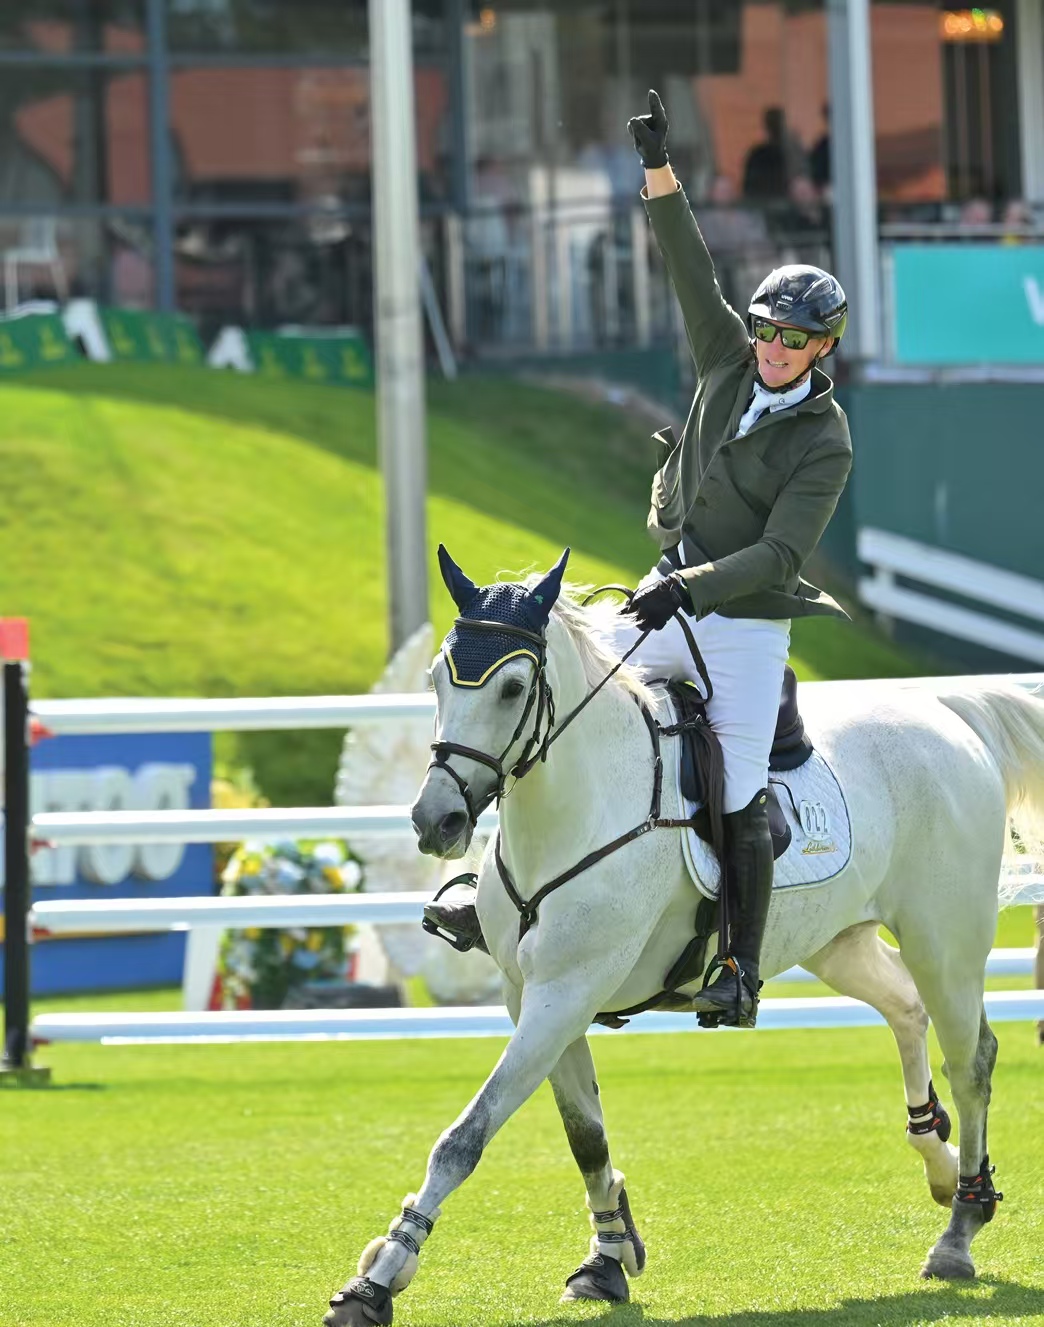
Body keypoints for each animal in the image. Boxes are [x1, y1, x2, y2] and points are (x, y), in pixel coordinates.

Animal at [323, 547, 1044, 1326]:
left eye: (513, 686)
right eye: (435, 677)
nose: (437, 822)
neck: (579, 806)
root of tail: (945, 711)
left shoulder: (566, 992)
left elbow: (464, 1137)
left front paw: (379, 1278)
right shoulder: (536, 997)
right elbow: (585, 1136)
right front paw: (608, 1260)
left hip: (945, 941)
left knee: (971, 1060)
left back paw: (961, 1227)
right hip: (839, 942)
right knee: (906, 1010)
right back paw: (938, 1161)